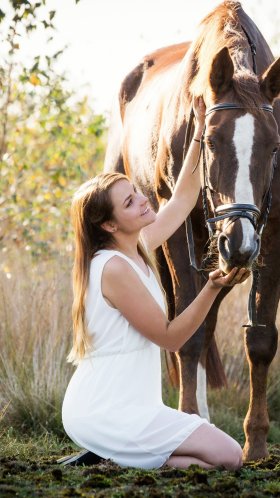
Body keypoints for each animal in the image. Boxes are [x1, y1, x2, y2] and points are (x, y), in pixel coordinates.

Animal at [104, 0, 280, 462]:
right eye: (211, 142)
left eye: (274, 145)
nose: (241, 242)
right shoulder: (175, 229)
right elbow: (187, 333)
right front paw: (188, 421)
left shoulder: (271, 234)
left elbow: (260, 338)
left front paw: (256, 441)